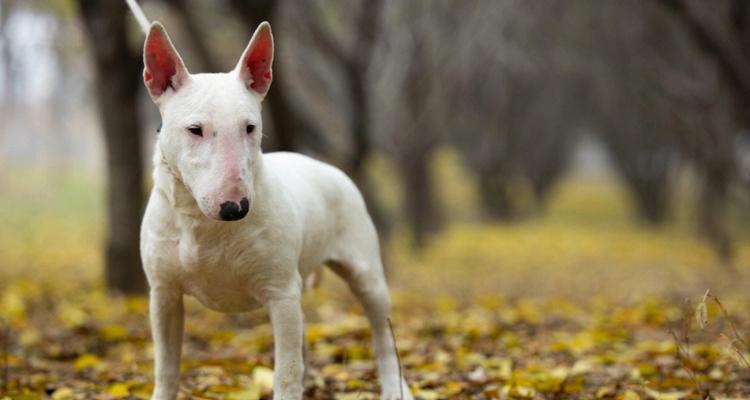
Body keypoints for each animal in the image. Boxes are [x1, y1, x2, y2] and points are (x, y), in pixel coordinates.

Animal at [125, 1, 414, 398]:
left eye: (250, 127)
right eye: (195, 130)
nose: (235, 208)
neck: (201, 224)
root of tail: (328, 168)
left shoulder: (281, 292)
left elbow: (286, 371)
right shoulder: (163, 294)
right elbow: (166, 367)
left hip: (364, 269)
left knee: (381, 331)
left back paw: (395, 386)